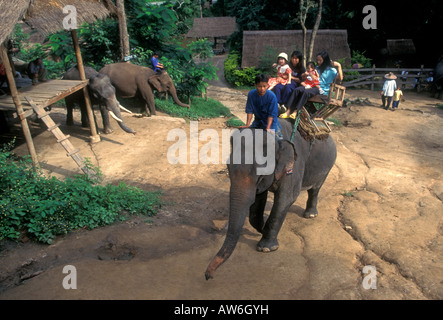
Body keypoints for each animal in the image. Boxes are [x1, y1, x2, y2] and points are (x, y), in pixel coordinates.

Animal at [206, 119, 338, 278]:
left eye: (260, 174)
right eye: (228, 167)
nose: (208, 276)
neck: (276, 140)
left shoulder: (294, 165)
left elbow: (287, 198)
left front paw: (266, 248)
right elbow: (257, 203)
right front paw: (262, 229)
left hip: (328, 166)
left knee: (315, 189)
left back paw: (310, 215)